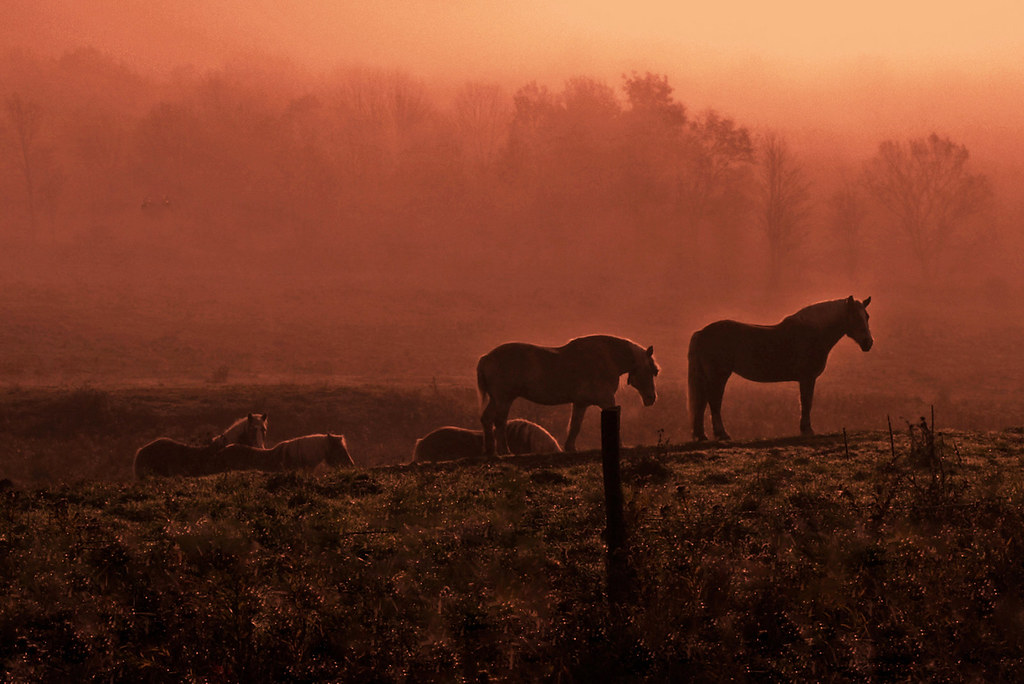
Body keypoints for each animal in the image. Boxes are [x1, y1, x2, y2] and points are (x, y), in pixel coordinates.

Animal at [477, 331, 659, 454]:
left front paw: (570, 447)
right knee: (499, 421)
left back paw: (490, 451)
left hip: (496, 399)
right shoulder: (606, 400)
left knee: (487, 419)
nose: (651, 398)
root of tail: (486, 357)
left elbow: (575, 426)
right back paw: (504, 450)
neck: (606, 358)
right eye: (652, 370)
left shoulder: (581, 403)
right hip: (504, 399)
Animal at [688, 296, 872, 440]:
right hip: (719, 376)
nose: (868, 343)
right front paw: (807, 430)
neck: (813, 332)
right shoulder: (807, 378)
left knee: (702, 402)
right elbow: (806, 402)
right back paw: (721, 434)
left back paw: (702, 435)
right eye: (855, 317)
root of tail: (702, 333)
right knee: (713, 401)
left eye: (867, 316)